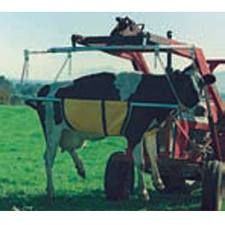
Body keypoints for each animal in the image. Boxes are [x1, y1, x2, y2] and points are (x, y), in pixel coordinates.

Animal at [25, 69, 215, 200]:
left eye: (201, 84)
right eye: (185, 84)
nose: (202, 109)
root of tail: (46, 87)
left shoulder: (150, 131)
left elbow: (154, 157)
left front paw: (159, 182)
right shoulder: (135, 132)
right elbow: (140, 162)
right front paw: (143, 192)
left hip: (71, 132)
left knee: (69, 148)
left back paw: (81, 168)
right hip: (52, 132)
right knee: (49, 158)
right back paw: (51, 191)